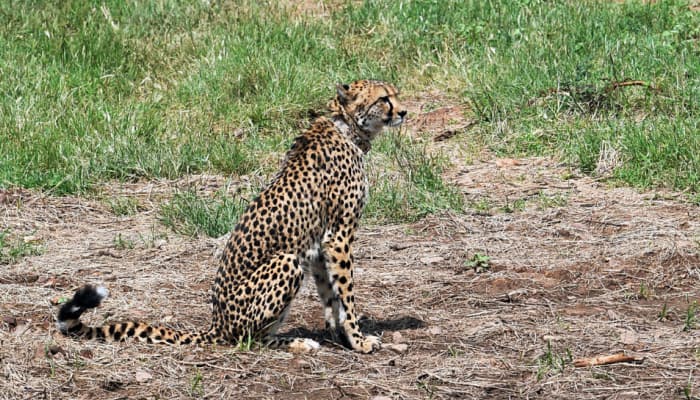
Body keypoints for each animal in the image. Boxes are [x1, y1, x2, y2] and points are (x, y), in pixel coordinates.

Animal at [57, 79, 408, 354]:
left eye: (395, 94)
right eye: (384, 98)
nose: (404, 112)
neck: (347, 128)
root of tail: (217, 323)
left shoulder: (320, 244)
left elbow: (330, 296)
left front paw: (340, 336)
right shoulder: (338, 236)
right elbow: (346, 294)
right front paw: (359, 340)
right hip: (286, 261)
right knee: (247, 339)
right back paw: (296, 343)